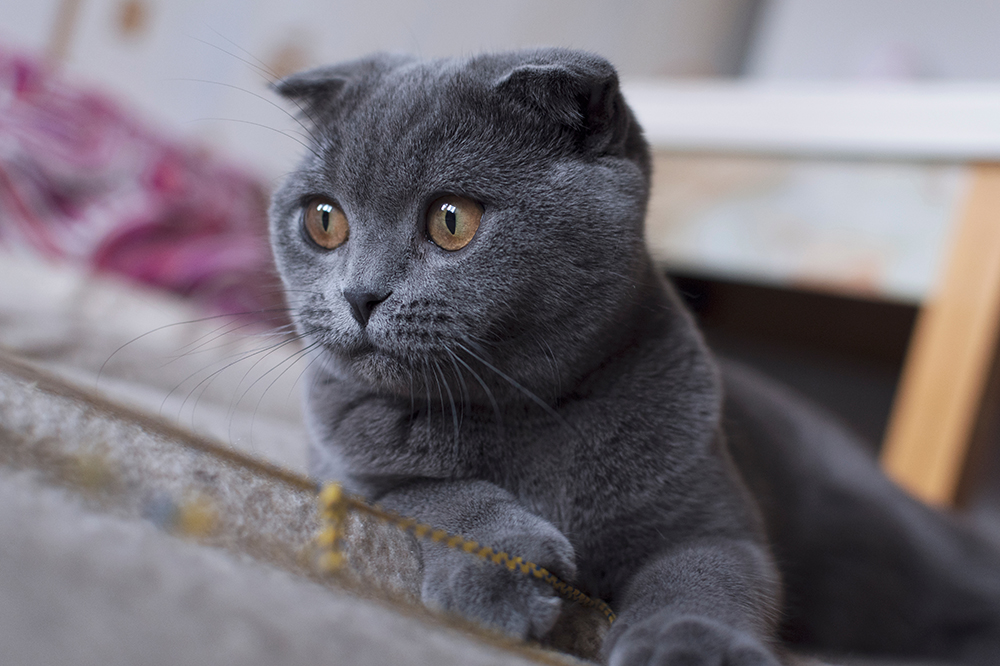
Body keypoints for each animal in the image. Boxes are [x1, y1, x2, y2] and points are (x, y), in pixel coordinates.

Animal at [266, 49, 1000, 660]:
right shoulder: (340, 467)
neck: (524, 409)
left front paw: (688, 648)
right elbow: (429, 492)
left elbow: (702, 582)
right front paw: (507, 573)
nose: (360, 294)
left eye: (451, 220)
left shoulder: (713, 524)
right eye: (324, 220)